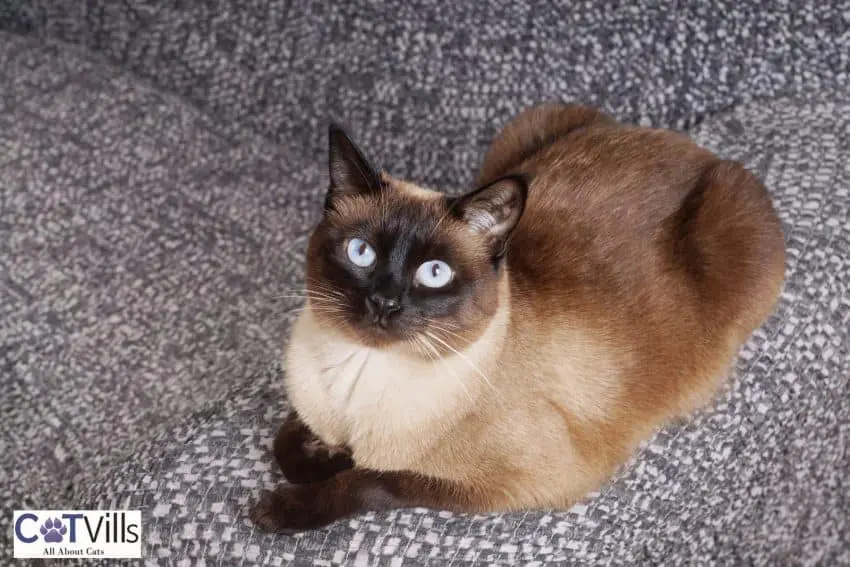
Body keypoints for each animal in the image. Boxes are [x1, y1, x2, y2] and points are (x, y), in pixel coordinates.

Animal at [248, 104, 784, 536]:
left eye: (434, 273)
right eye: (361, 252)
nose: (384, 303)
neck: (356, 380)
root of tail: (688, 144)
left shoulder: (527, 481)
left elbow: (374, 479)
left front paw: (283, 506)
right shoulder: (306, 410)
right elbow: (286, 445)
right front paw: (328, 456)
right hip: (524, 128)